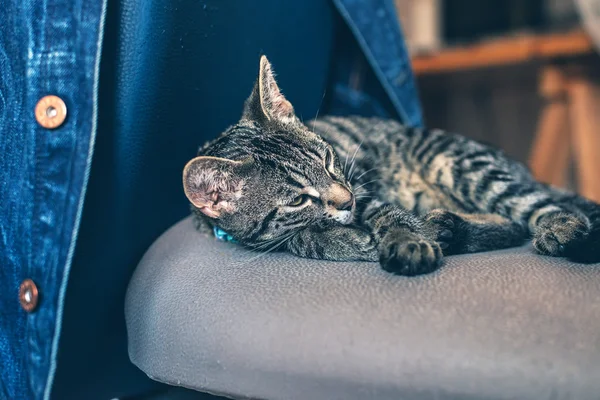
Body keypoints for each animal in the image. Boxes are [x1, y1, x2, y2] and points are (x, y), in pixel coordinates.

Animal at [183, 55, 600, 276]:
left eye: (329, 160)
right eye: (298, 200)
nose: (346, 201)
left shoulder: (365, 188)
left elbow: (390, 215)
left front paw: (405, 241)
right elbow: (303, 238)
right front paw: (345, 240)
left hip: (458, 163)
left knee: (529, 207)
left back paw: (562, 228)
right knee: (509, 222)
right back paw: (450, 228)